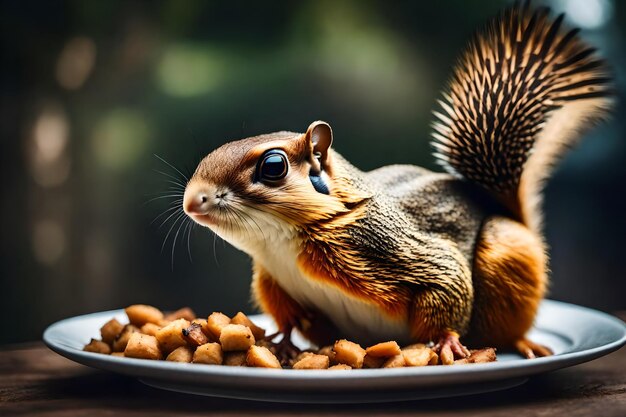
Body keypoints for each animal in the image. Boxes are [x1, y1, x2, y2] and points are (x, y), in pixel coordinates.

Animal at [180, 1, 608, 362]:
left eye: (273, 166)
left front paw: (446, 342)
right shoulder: (274, 282)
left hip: (507, 251)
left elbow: (448, 282)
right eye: (216, 150)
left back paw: (520, 342)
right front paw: (280, 344)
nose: (192, 201)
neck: (279, 243)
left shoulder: (394, 248)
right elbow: (285, 321)